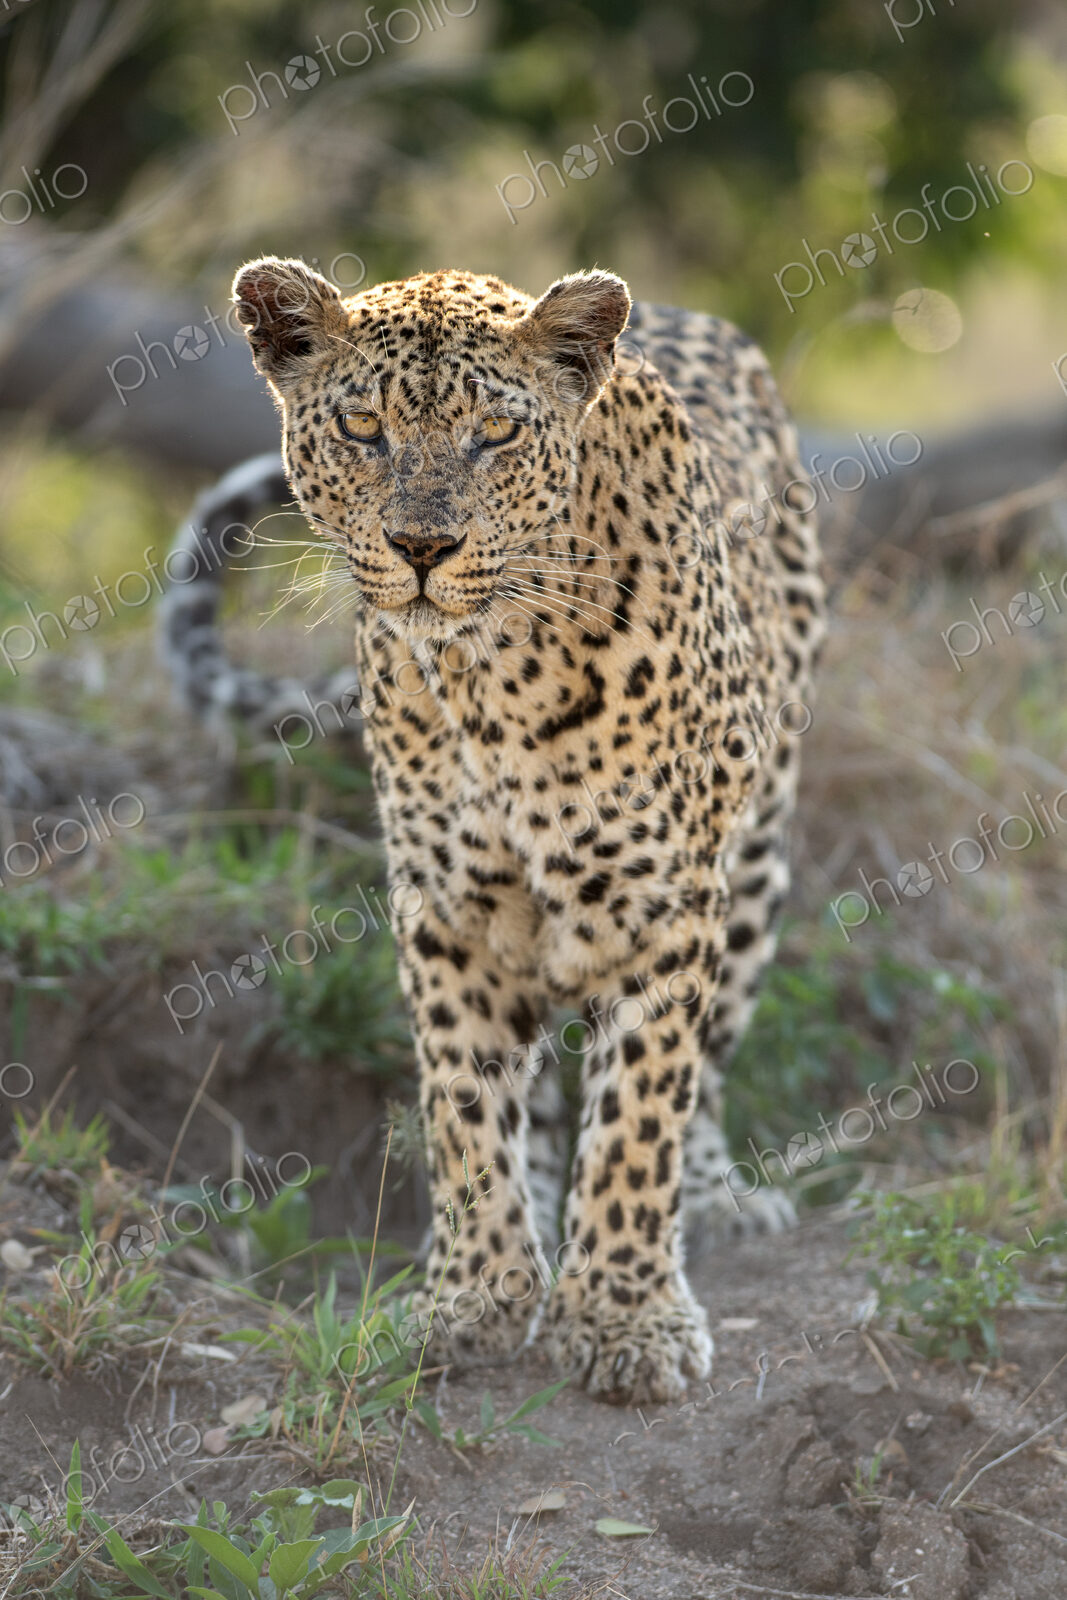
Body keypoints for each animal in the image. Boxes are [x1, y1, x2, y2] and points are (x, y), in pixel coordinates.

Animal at [171, 256, 824, 1405]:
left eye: (494, 434)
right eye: (364, 429)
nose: (422, 548)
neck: (495, 673)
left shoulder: (661, 907)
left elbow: (642, 1112)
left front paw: (623, 1318)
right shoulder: (449, 909)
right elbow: (465, 1108)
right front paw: (475, 1295)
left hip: (752, 861)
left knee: (700, 1072)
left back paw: (711, 1199)